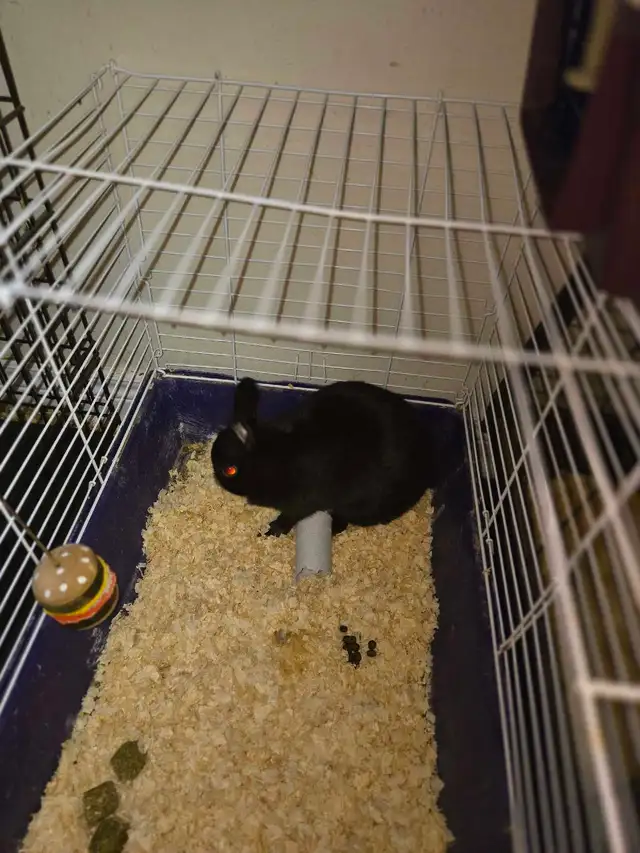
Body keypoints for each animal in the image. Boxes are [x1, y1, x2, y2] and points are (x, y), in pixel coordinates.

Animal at [211, 377, 433, 537]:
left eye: (229, 470)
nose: (216, 479)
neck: (274, 456)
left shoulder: (301, 502)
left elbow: (288, 517)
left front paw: (270, 532)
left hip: (358, 505)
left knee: (343, 523)